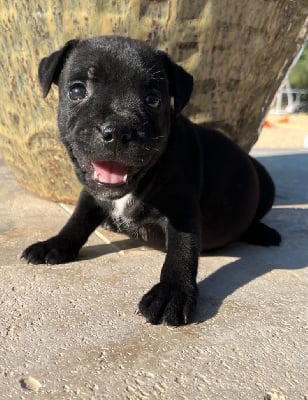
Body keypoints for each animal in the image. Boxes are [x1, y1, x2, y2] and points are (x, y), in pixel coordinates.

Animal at [22, 36, 280, 326]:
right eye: (77, 91)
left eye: (153, 100)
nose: (118, 130)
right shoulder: (91, 194)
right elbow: (77, 220)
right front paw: (55, 244)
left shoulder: (182, 212)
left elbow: (181, 253)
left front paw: (172, 293)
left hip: (266, 184)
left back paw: (262, 232)